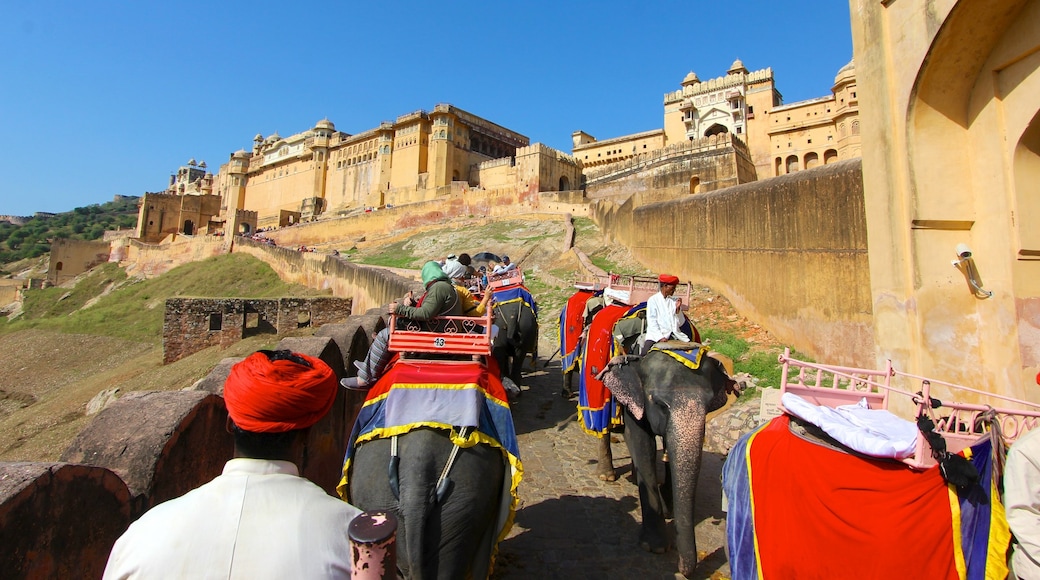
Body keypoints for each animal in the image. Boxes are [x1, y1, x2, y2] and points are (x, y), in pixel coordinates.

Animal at [599, 347, 736, 577]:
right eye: (661, 405)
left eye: (709, 406)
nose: (682, 568)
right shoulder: (636, 402)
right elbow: (641, 444)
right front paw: (656, 547)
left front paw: (669, 507)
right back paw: (607, 475)